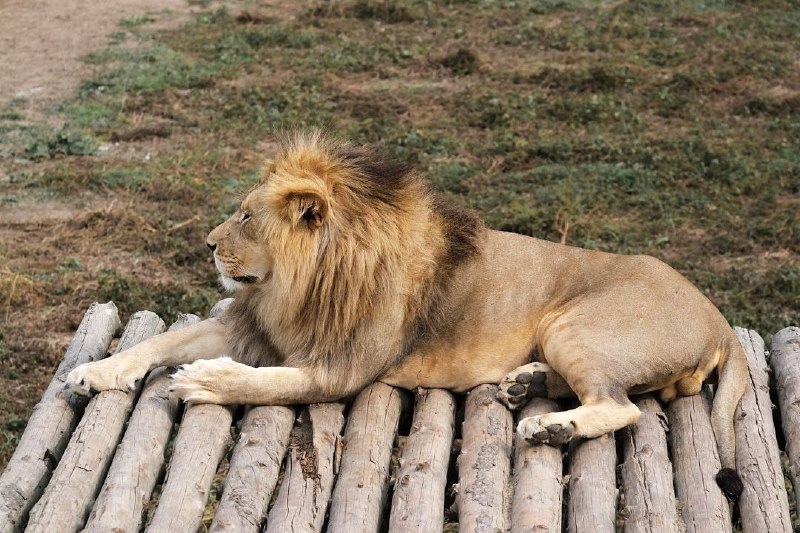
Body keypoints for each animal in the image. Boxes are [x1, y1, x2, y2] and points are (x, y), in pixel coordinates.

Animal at [65, 130, 748, 498]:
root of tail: (718, 318)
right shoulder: (248, 324)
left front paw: (204, 381)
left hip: (574, 327)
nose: (207, 245)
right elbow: (153, 344)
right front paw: (92, 373)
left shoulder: (338, 371)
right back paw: (523, 383)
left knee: (622, 407)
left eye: (246, 217)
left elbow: (262, 383)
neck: (295, 287)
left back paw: (549, 428)